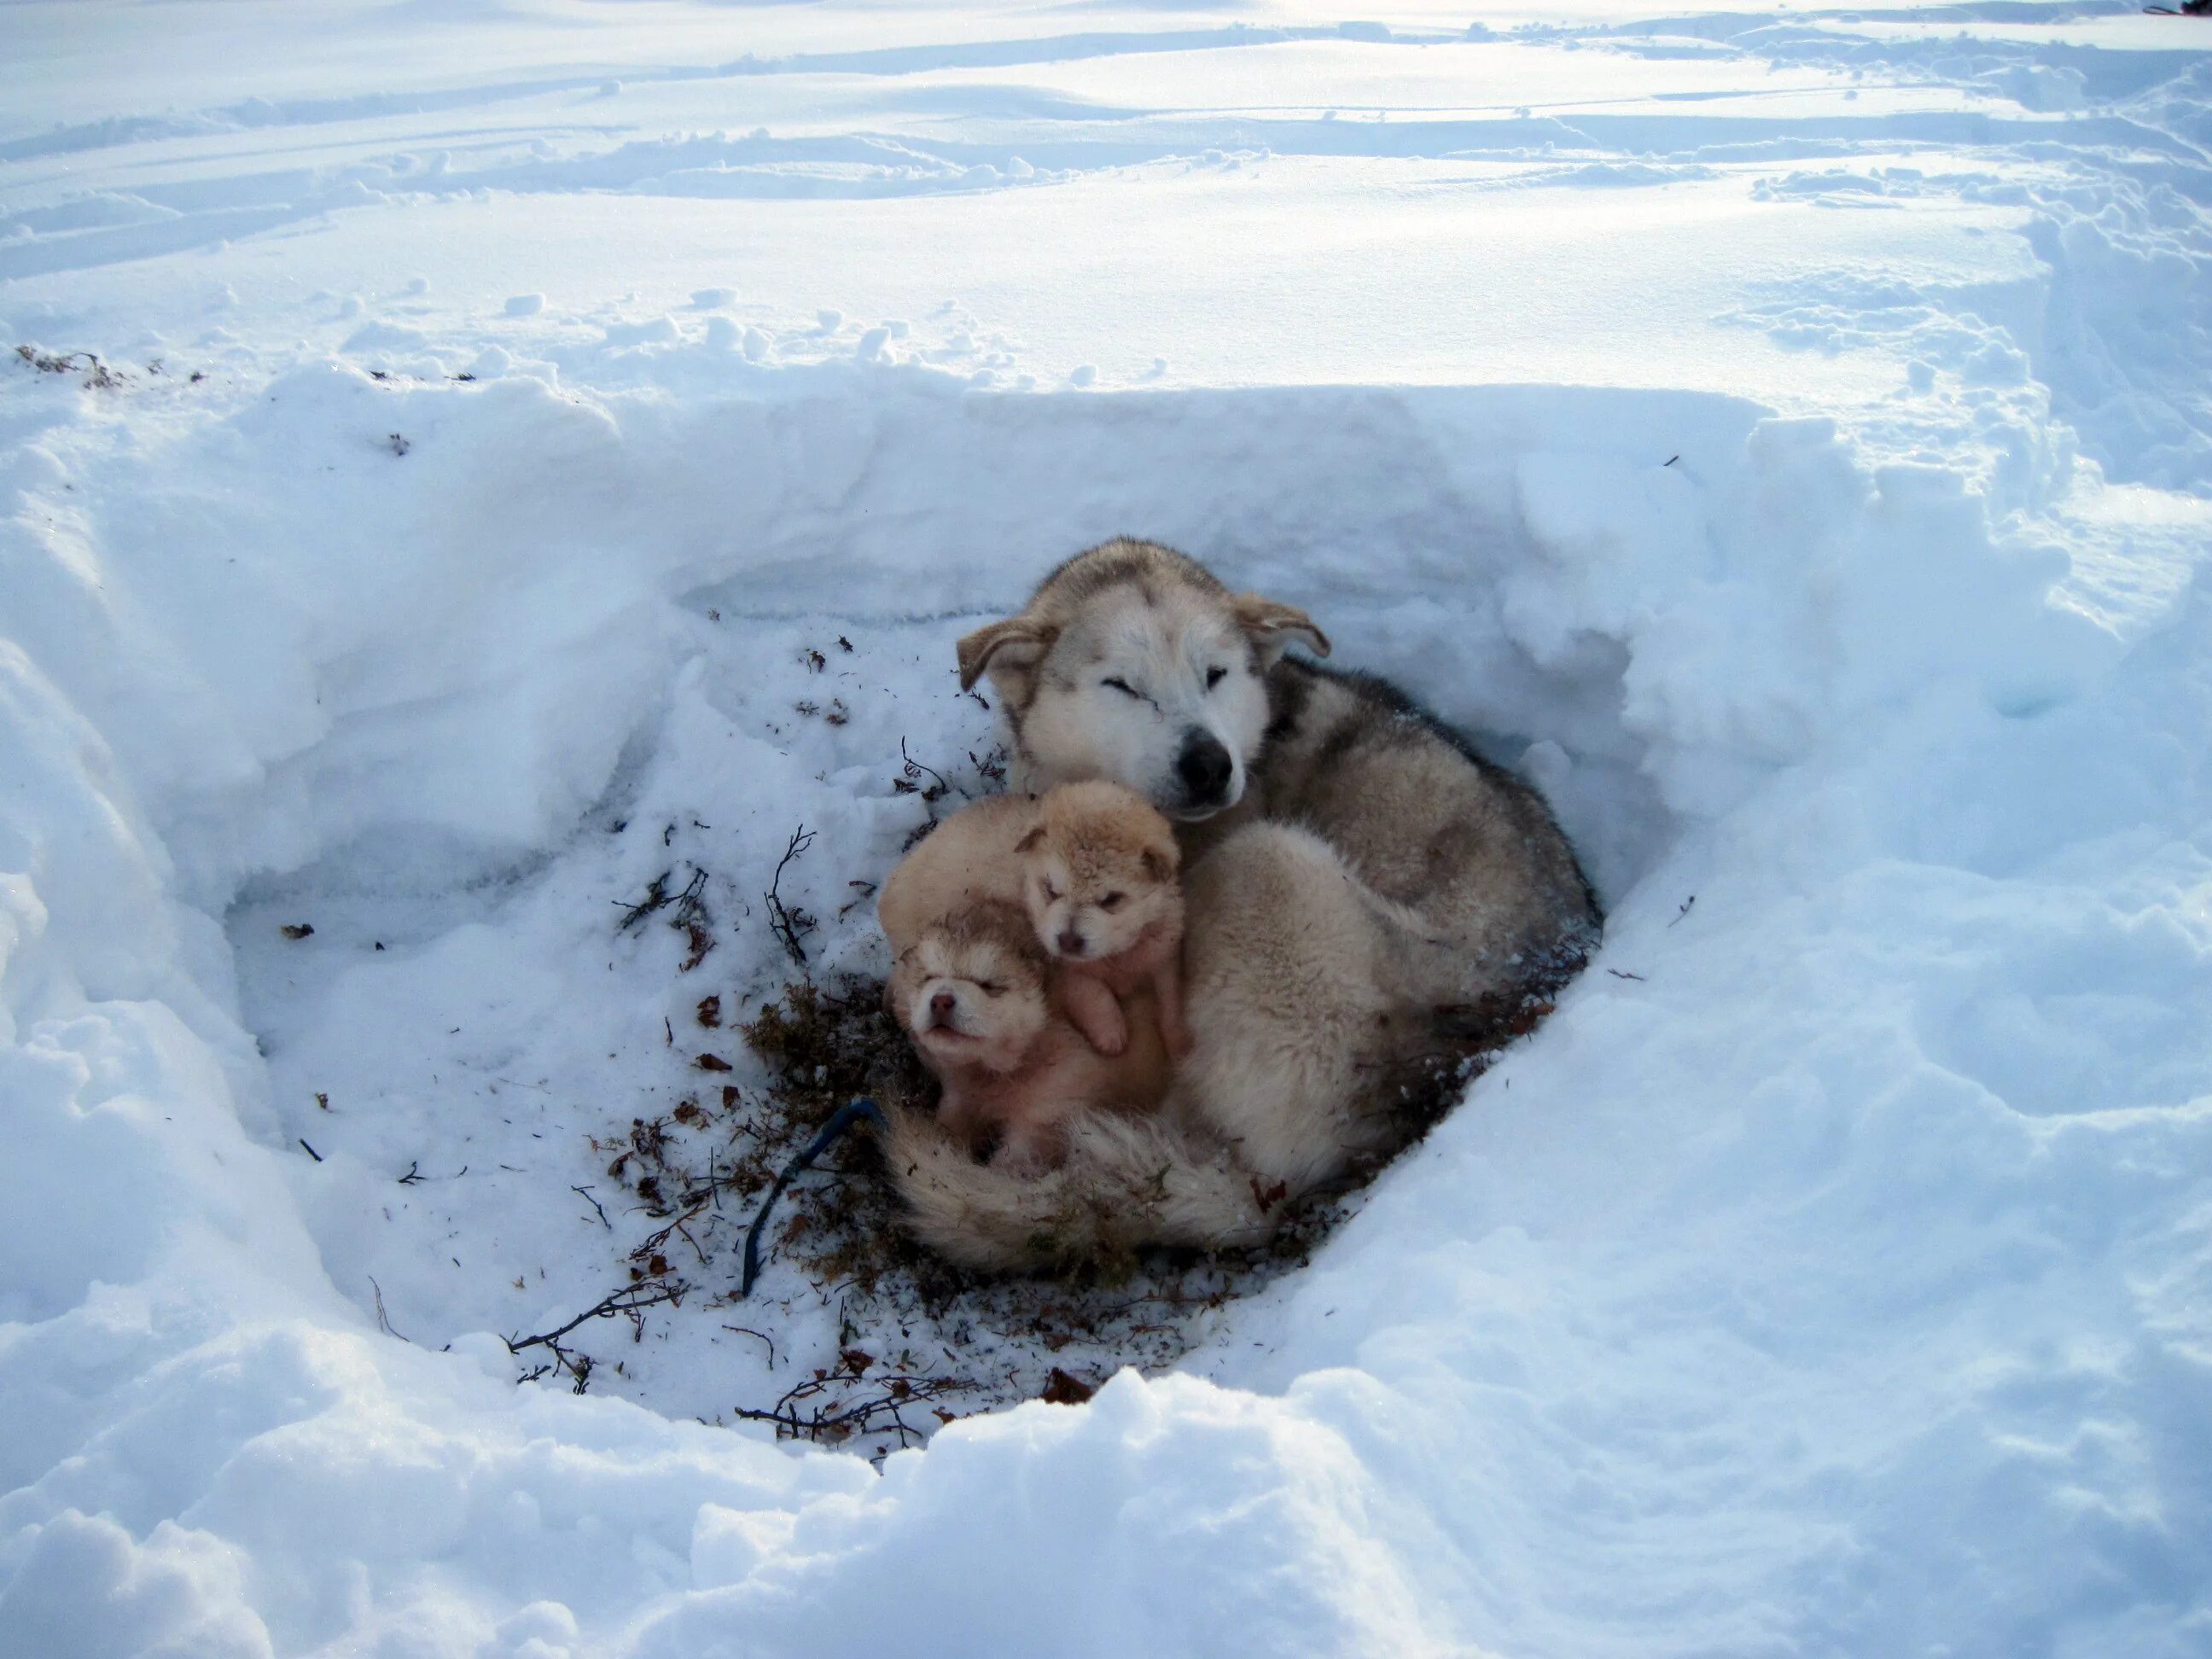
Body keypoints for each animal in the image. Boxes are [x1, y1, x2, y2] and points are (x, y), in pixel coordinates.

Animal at [1017, 783, 1194, 1066]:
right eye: (1051, 891)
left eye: (1111, 899)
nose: (1068, 941)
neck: (1116, 955)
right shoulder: (1067, 971)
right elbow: (1095, 994)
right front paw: (1110, 1034)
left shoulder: (1165, 958)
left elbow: (1172, 1001)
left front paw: (1181, 1045)